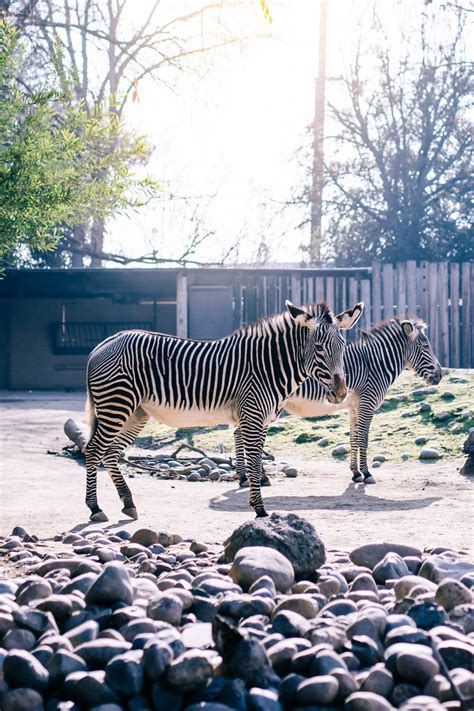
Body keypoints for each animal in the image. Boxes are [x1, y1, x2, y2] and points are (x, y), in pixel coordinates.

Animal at [82, 300, 362, 524]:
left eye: (342, 346)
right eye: (319, 347)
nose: (339, 392)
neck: (268, 366)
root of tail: (103, 344)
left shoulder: (262, 421)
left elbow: (255, 461)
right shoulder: (252, 416)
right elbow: (253, 462)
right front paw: (260, 509)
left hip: (135, 412)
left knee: (110, 452)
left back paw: (128, 503)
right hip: (116, 404)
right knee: (94, 450)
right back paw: (95, 508)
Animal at [284, 318, 442, 484]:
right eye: (425, 346)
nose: (440, 375)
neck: (374, 365)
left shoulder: (354, 407)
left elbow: (353, 439)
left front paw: (356, 473)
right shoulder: (367, 404)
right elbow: (363, 439)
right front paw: (366, 473)